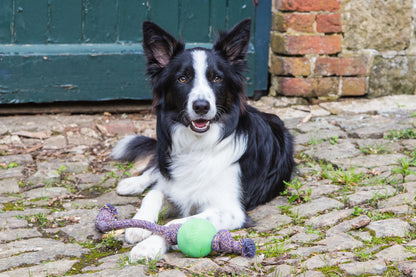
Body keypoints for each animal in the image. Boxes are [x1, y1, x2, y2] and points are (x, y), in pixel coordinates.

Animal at [109, 18, 292, 258]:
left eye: (217, 78)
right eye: (182, 78)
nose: (201, 106)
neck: (198, 145)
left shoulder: (231, 210)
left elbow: (176, 224)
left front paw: (149, 245)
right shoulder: (173, 183)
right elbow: (154, 194)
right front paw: (138, 224)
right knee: (154, 171)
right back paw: (132, 183)